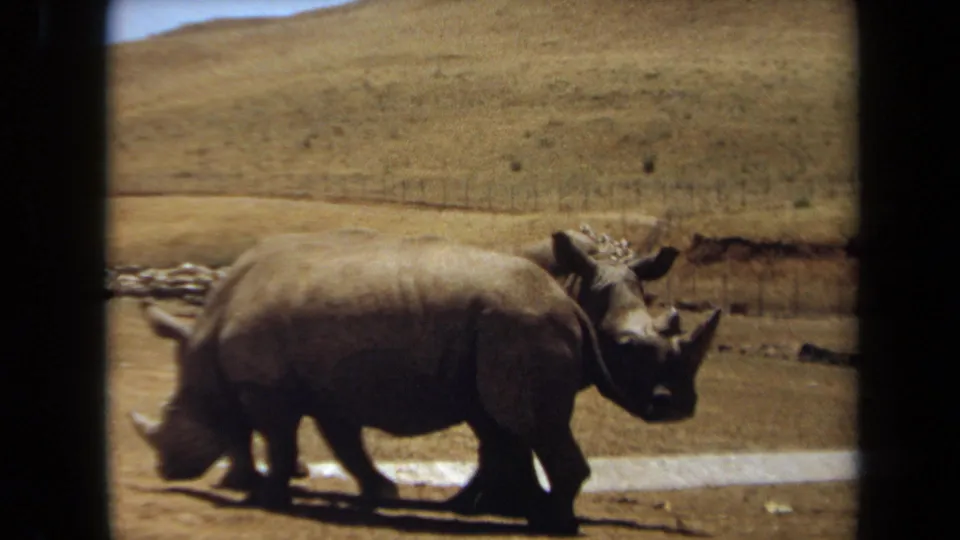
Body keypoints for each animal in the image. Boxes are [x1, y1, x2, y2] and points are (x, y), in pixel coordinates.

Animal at [130, 230, 720, 534]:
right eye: (629, 350)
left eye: (173, 415)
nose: (164, 468)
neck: (206, 334)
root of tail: (562, 304)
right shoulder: (324, 384)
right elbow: (341, 441)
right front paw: (385, 493)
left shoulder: (268, 387)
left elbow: (278, 436)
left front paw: (270, 495)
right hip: (512, 326)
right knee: (528, 428)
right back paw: (535, 515)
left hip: (518, 324)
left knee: (535, 428)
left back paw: (550, 524)